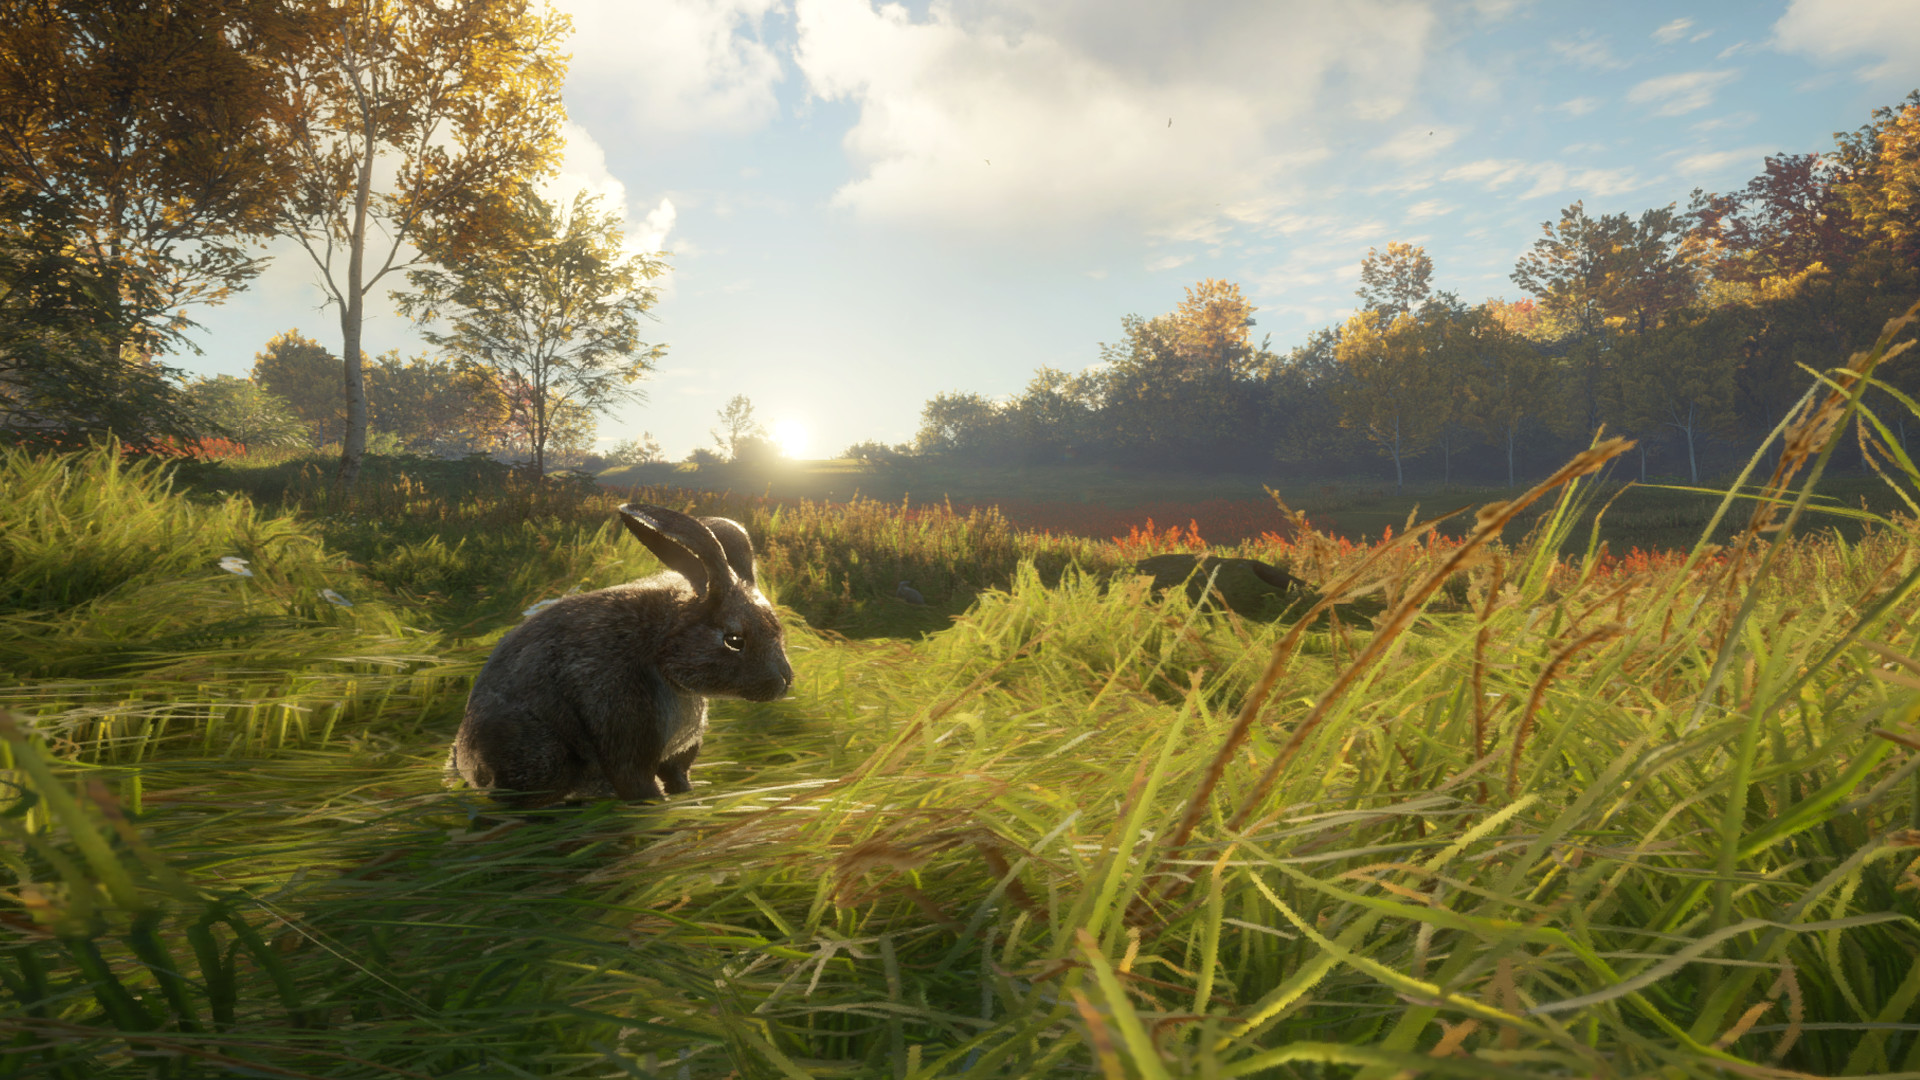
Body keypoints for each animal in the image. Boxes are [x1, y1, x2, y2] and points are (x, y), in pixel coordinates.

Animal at [448, 503, 794, 810]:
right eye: (734, 640)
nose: (785, 681)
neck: (659, 648)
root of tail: (462, 756)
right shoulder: (624, 728)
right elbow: (639, 785)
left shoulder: (674, 758)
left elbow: (678, 779)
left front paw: (690, 802)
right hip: (540, 753)